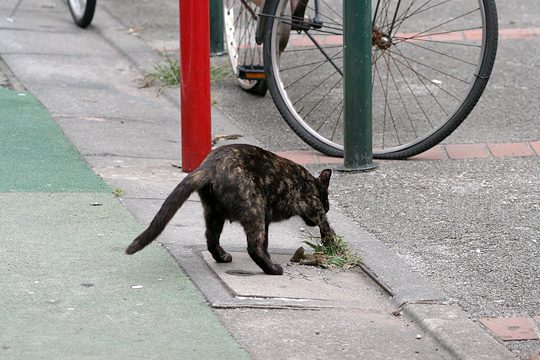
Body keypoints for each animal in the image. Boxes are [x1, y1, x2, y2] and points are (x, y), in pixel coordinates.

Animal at [127, 143, 336, 276]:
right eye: (326, 205)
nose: (327, 207)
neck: (309, 182)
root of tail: (210, 166)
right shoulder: (313, 207)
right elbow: (326, 226)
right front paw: (332, 244)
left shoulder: (268, 221)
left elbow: (266, 241)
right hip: (254, 210)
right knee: (253, 248)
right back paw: (273, 270)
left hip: (214, 214)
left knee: (211, 240)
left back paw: (223, 257)